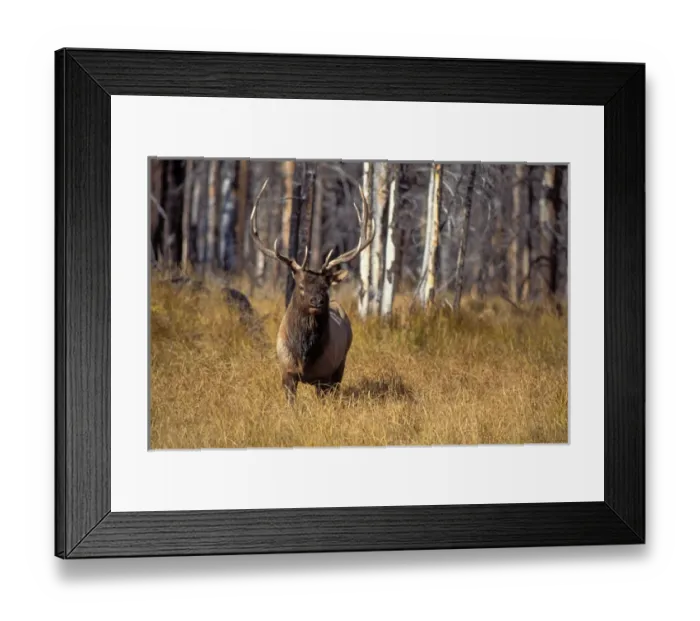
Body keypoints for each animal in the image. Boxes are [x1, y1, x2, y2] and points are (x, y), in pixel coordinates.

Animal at [249, 177, 375, 404]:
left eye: (326, 286)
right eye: (301, 286)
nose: (317, 301)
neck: (304, 357)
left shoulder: (324, 376)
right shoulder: (287, 372)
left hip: (341, 363)